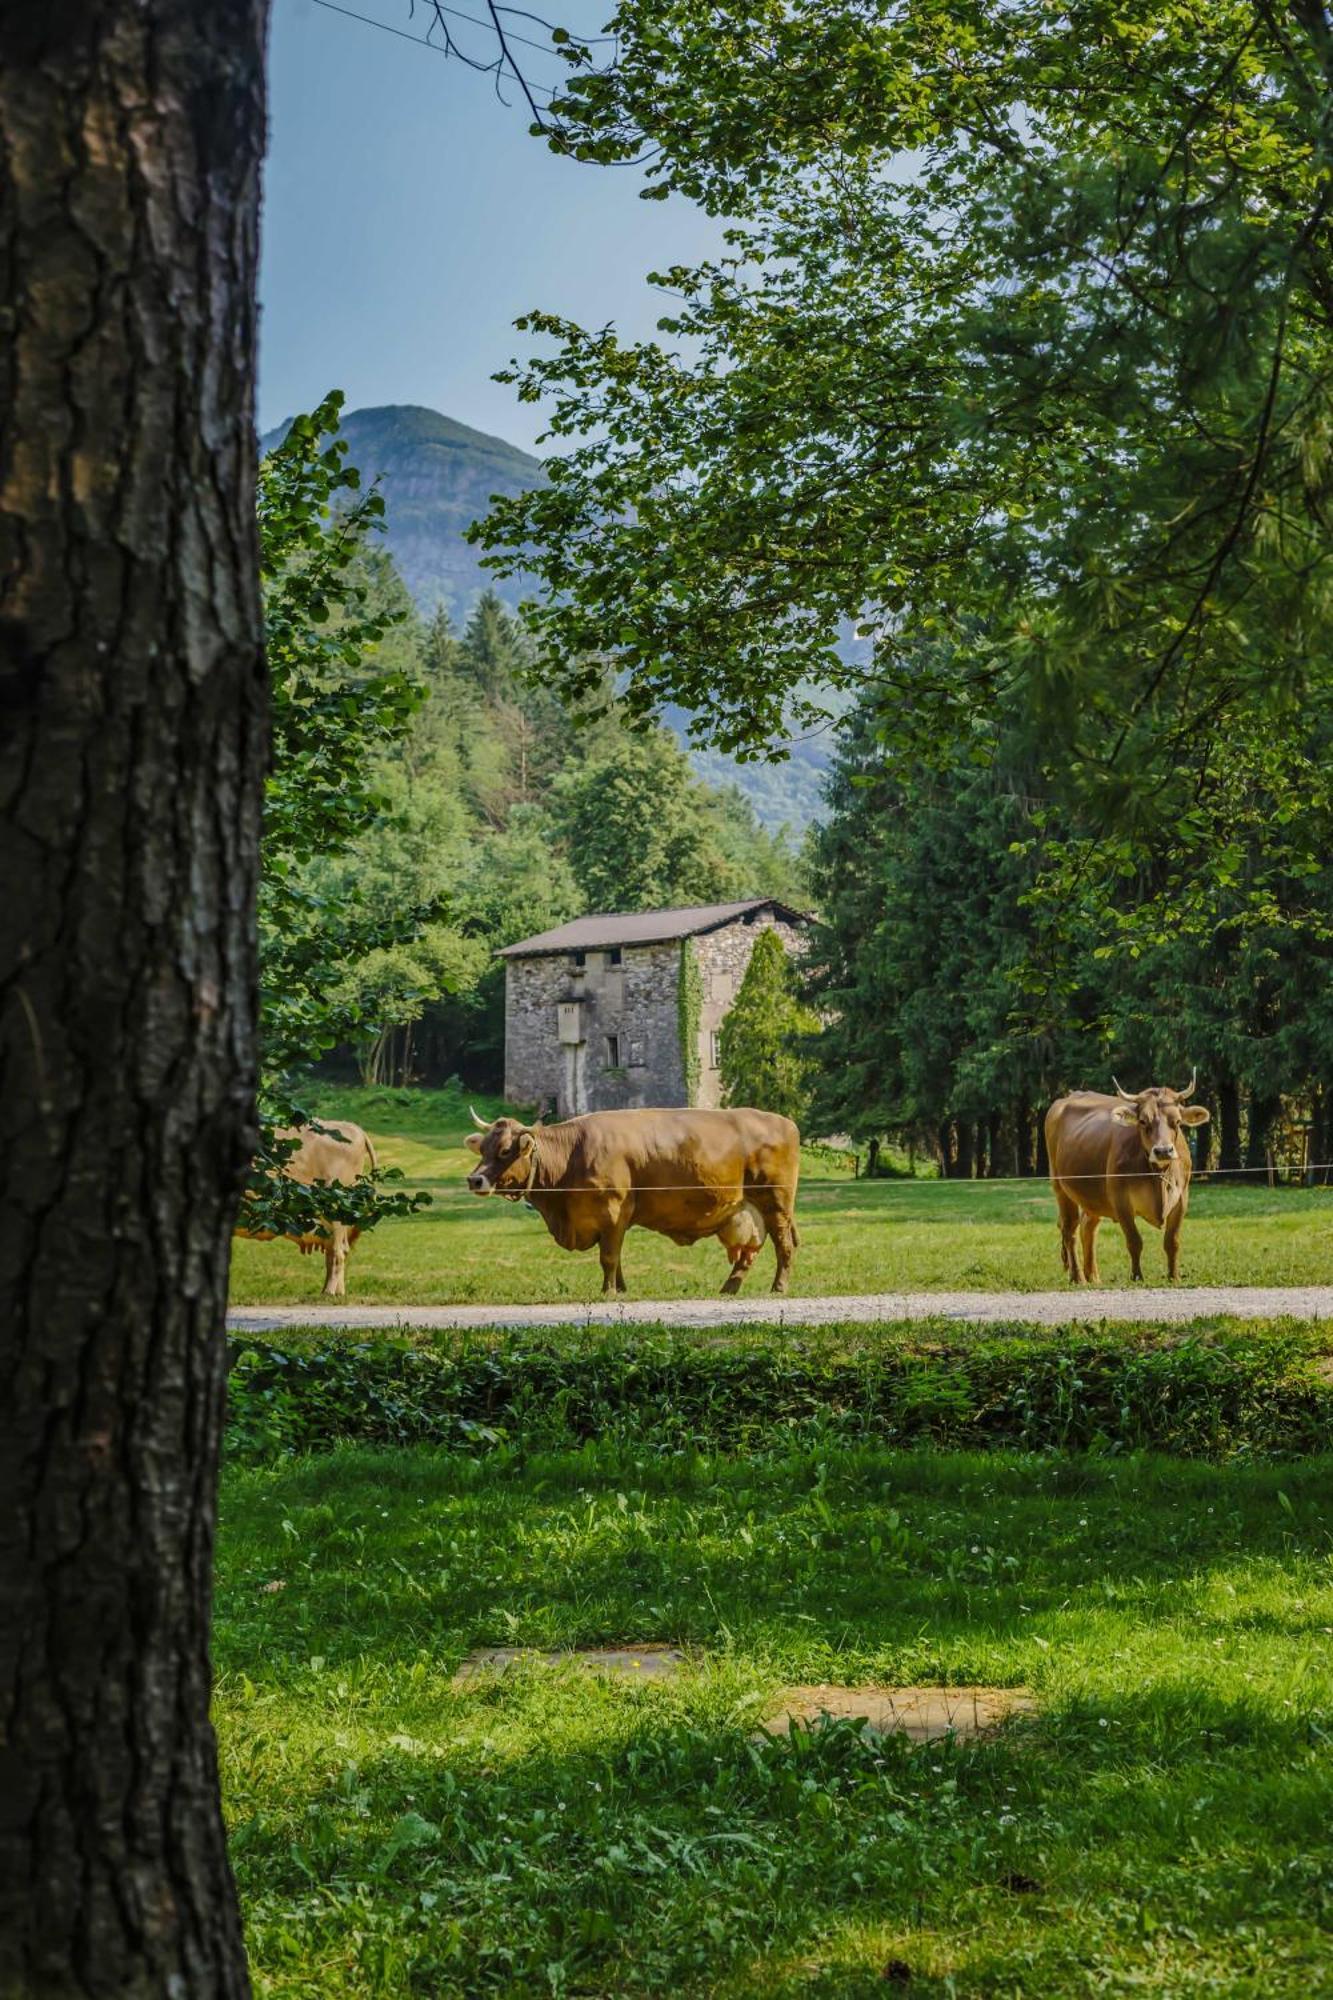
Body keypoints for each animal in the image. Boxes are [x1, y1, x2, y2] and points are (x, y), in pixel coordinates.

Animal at [233, 1120, 376, 1304]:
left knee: (338, 1252)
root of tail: (355, 1128)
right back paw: (334, 1291)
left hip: (336, 1208)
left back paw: (330, 1292)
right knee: (335, 1251)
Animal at [464, 1112, 800, 1296]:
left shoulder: (613, 1212)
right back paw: (729, 1288)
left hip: (776, 1204)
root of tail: (783, 1121)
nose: (474, 1180)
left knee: (783, 1246)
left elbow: (609, 1257)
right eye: (483, 1148)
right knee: (749, 1253)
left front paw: (608, 1291)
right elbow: (616, 1257)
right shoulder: (609, 1221)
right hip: (750, 1210)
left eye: (505, 1150)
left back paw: (779, 1287)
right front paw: (621, 1288)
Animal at [1040, 1080, 1208, 1280]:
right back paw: (1078, 1277)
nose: (1163, 1151)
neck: (1157, 1175)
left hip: (1093, 1198)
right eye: (1143, 1121)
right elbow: (1134, 1241)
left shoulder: (1181, 1198)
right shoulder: (1121, 1201)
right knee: (1069, 1229)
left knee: (1088, 1227)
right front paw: (1137, 1277)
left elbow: (1172, 1241)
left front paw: (1173, 1276)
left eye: (1177, 1121)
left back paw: (1093, 1277)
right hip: (1060, 1187)